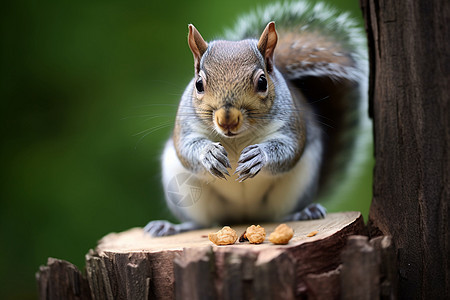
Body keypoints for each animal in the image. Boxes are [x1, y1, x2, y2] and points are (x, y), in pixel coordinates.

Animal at [144, 1, 370, 236]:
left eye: (262, 82)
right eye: (198, 84)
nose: (227, 120)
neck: (236, 138)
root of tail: (244, 216)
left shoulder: (291, 126)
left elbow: (288, 149)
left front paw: (258, 155)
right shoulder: (186, 127)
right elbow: (186, 148)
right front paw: (209, 153)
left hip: (297, 185)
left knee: (280, 214)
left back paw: (304, 213)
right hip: (187, 193)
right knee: (201, 223)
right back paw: (171, 227)